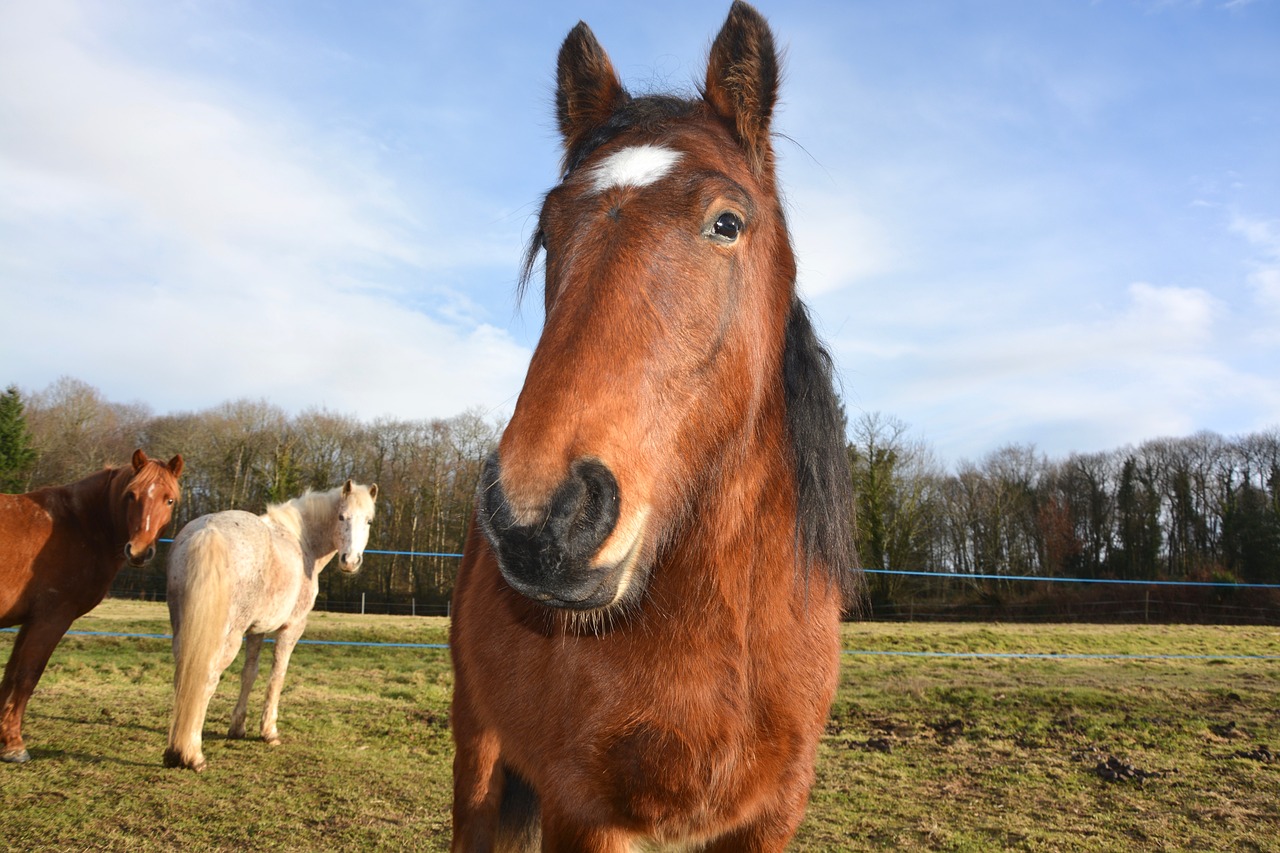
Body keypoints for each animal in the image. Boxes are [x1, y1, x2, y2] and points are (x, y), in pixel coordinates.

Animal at [0, 448, 185, 758]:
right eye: (131, 494)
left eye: (169, 499)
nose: (138, 551)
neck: (80, 526)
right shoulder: (51, 619)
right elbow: (27, 676)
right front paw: (14, 745)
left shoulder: (30, 621)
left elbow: (12, 675)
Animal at [162, 479, 376, 768]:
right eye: (342, 517)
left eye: (368, 521)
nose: (350, 561)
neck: (302, 543)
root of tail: (207, 532)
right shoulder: (292, 628)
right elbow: (278, 675)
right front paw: (269, 732)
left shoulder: (256, 630)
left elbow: (249, 674)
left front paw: (237, 728)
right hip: (226, 637)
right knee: (206, 679)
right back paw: (192, 754)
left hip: (184, 628)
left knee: (183, 676)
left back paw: (175, 749)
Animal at [450, 3, 860, 845]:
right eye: (547, 231)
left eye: (727, 223)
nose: (541, 515)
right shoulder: (583, 812)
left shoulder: (772, 818)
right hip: (477, 753)